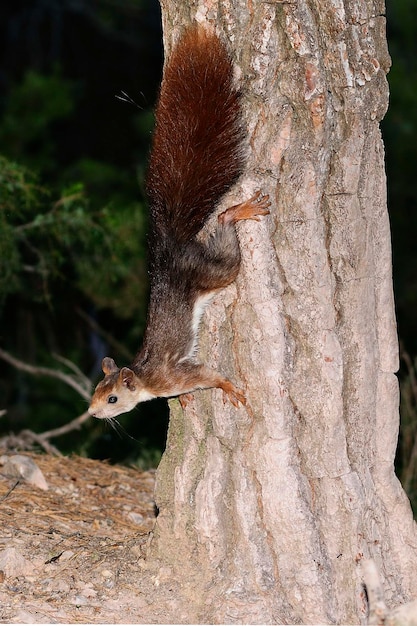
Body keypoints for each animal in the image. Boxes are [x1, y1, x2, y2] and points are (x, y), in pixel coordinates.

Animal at [88, 24, 270, 416]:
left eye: (112, 398)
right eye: (96, 389)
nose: (92, 412)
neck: (145, 380)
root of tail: (170, 250)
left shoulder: (173, 375)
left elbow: (207, 375)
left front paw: (227, 387)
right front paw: (186, 400)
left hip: (213, 270)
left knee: (225, 232)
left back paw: (241, 210)